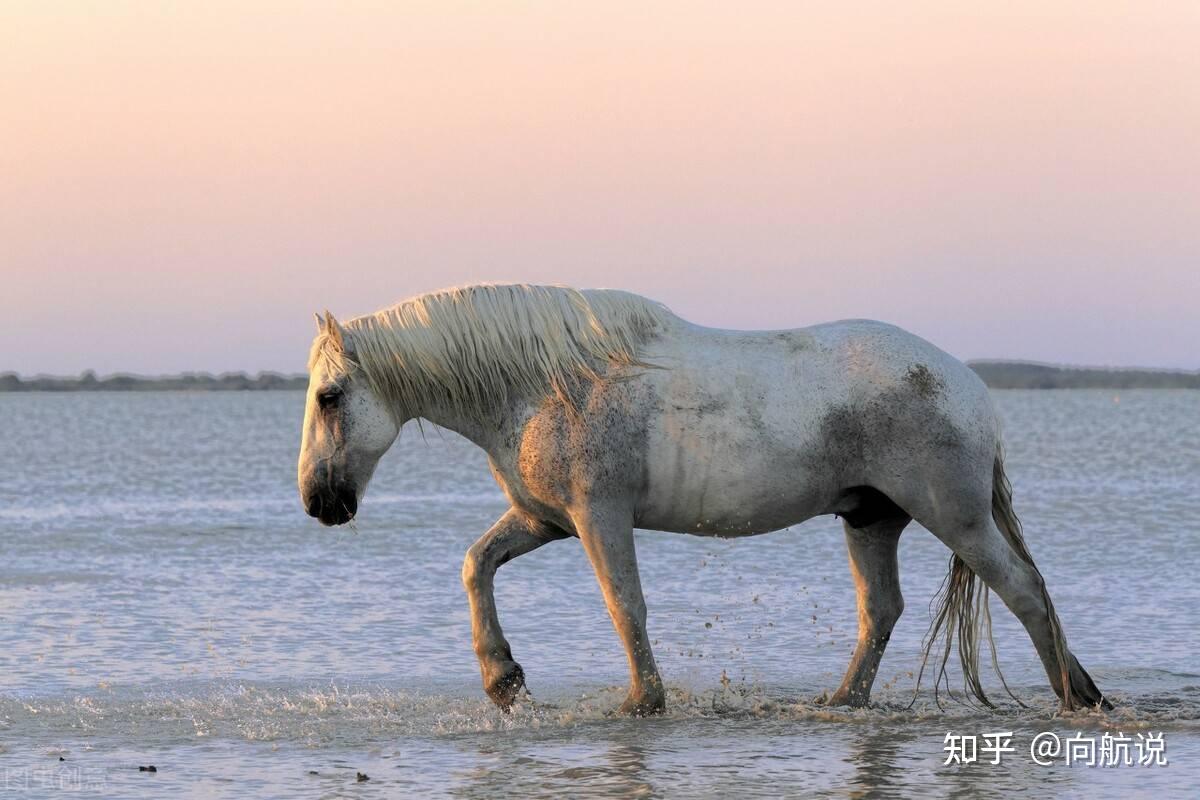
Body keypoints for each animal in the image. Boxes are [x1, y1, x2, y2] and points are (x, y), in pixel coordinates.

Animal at [297, 284, 1104, 714]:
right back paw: (842, 702)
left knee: (1024, 590)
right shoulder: (545, 520)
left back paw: (1077, 697)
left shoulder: (597, 517)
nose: (317, 502)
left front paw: (643, 702)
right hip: (871, 518)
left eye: (330, 396)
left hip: (953, 517)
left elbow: (624, 604)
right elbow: (476, 565)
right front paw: (504, 681)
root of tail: (971, 388)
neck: (542, 384)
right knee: (882, 611)